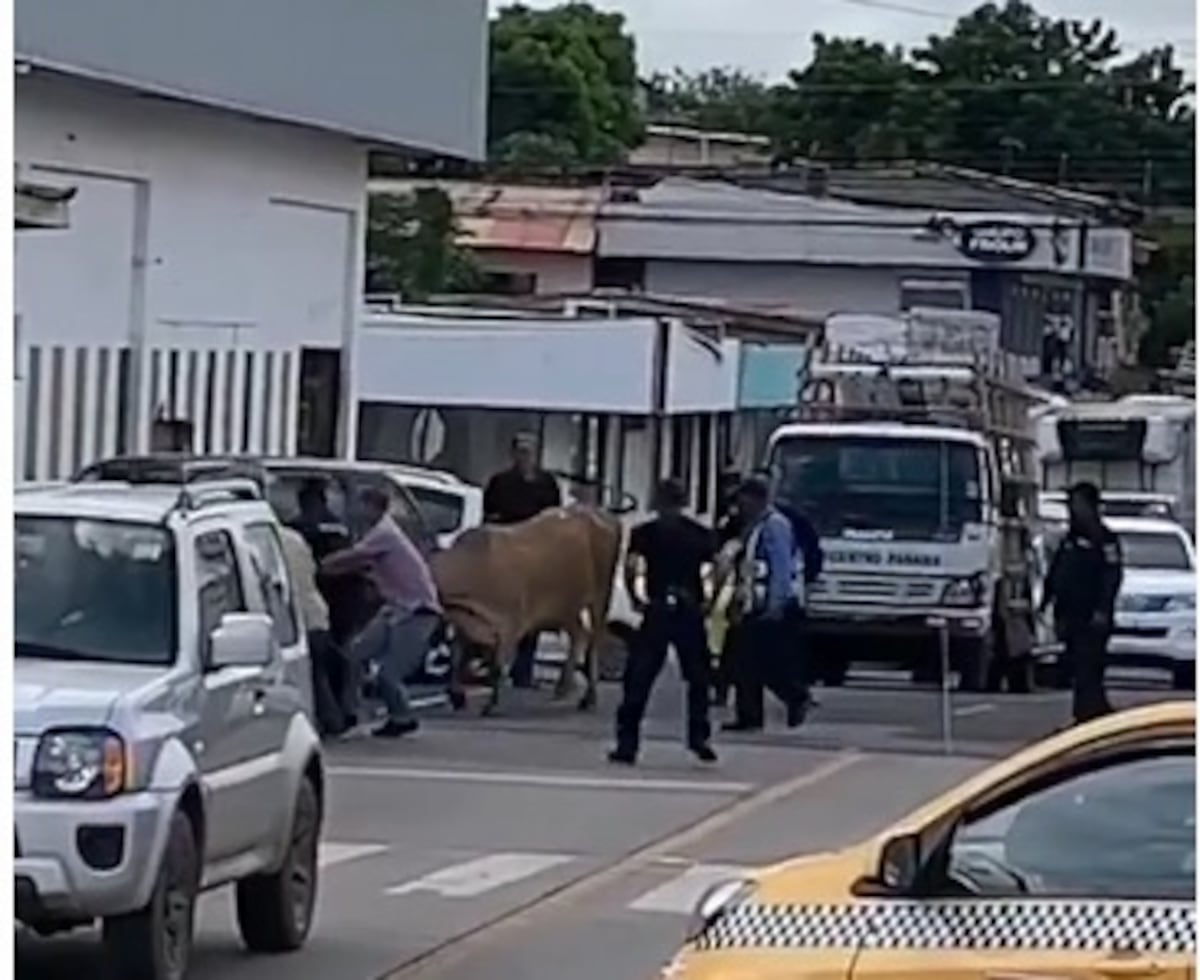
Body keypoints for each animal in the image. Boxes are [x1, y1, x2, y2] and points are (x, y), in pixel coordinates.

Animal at [432, 501, 619, 714]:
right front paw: (457, 696)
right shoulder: (466, 623)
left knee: (594, 642)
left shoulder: (510, 623)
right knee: (579, 634)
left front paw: (491, 704)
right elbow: (456, 659)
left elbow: (497, 666)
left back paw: (589, 698)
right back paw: (563, 688)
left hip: (601, 594)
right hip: (564, 606)